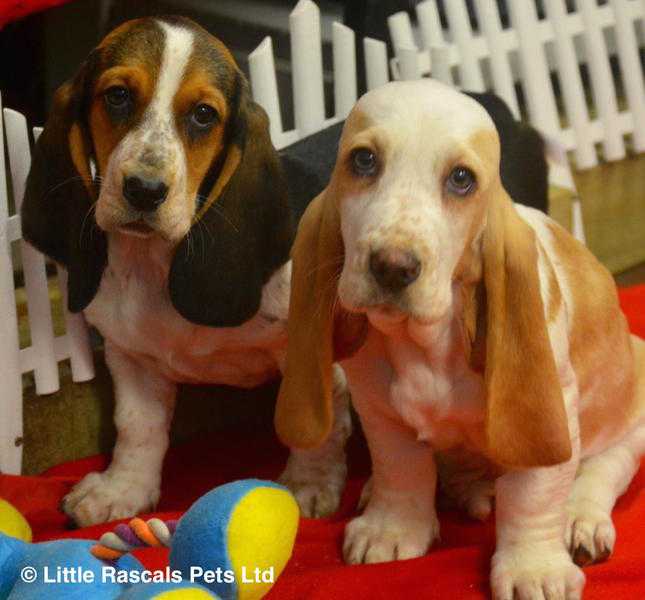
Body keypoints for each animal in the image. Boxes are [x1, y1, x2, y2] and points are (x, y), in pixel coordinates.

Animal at [276, 79, 644, 600]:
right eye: (363, 160)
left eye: (462, 179)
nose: (392, 267)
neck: (425, 344)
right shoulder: (379, 408)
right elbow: (401, 468)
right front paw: (392, 529)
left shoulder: (554, 408)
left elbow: (533, 495)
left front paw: (534, 570)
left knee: (603, 466)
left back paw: (579, 519)